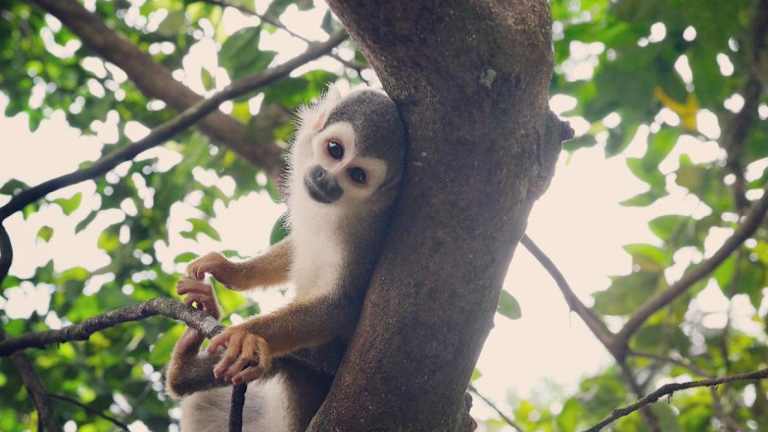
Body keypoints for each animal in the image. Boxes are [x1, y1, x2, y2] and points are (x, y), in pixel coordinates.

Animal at [165, 87, 408, 431]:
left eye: (357, 175)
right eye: (335, 150)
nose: (326, 180)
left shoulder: (369, 234)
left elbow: (340, 306)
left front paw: (246, 334)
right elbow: (294, 250)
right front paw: (231, 271)